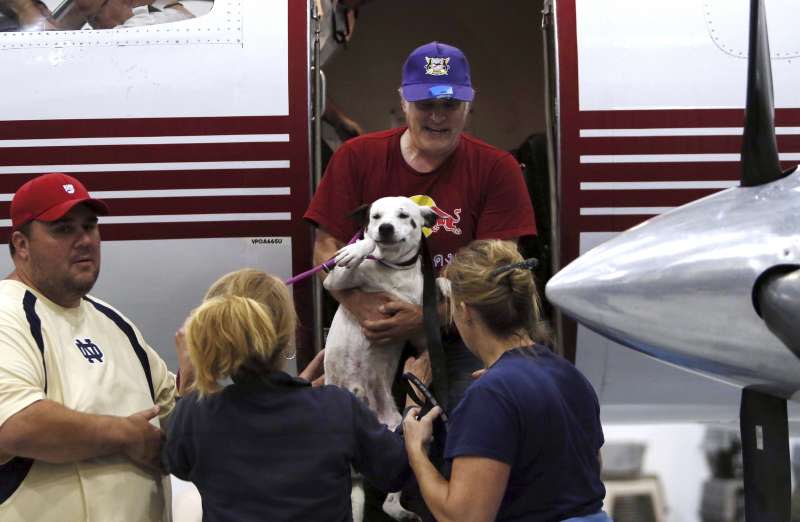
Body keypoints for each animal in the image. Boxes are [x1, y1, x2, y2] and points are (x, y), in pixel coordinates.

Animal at [324, 196, 438, 520]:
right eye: (375, 217)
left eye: (404, 216)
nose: (384, 228)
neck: (391, 270)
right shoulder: (335, 281)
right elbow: (359, 253)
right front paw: (359, 247)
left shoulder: (417, 321)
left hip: (400, 436)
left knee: (390, 493)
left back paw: (401, 511)